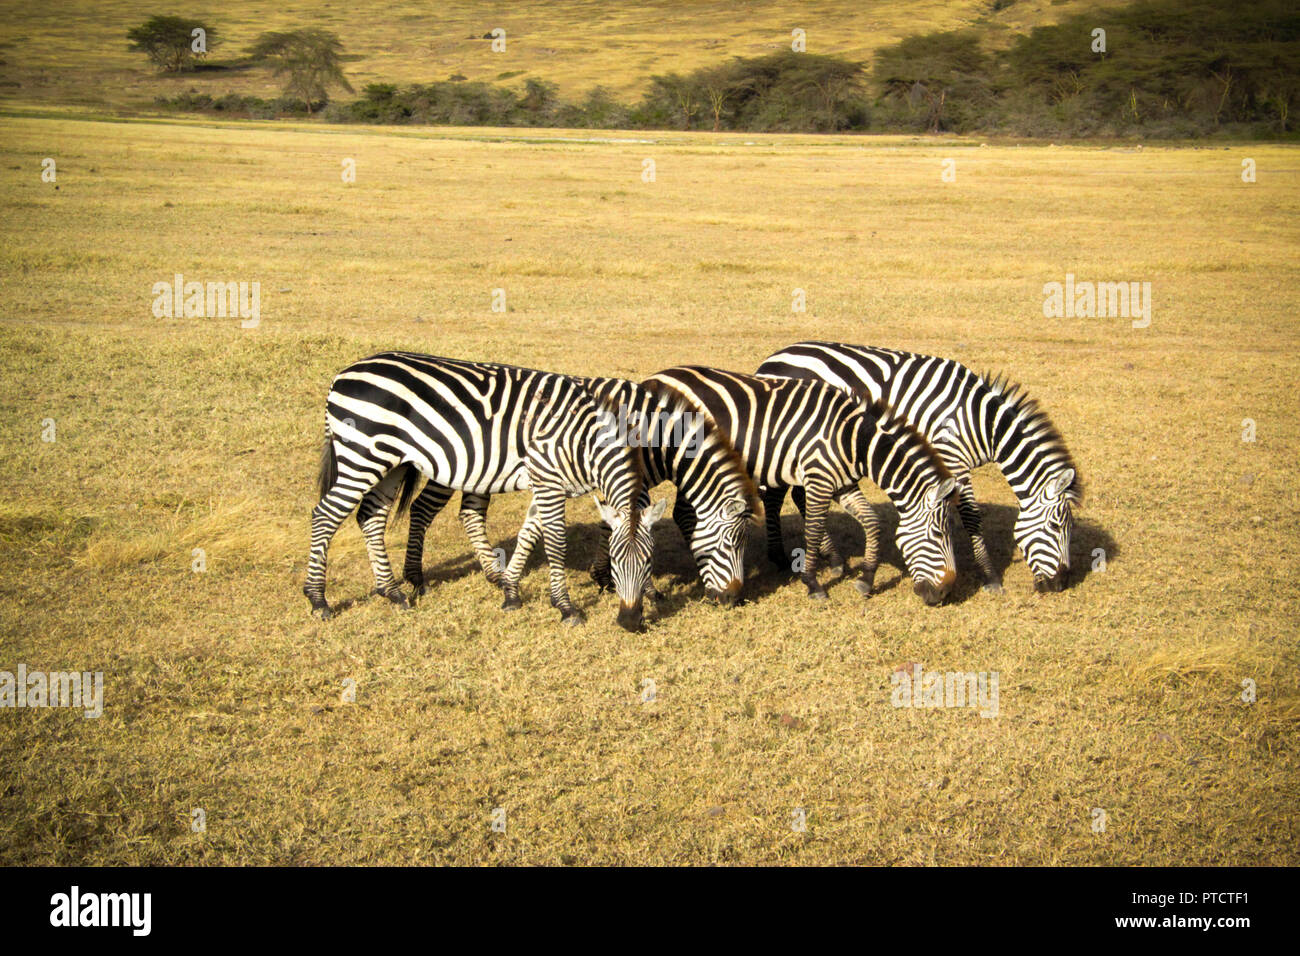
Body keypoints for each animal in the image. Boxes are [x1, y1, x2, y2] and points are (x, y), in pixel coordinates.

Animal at [304, 351, 660, 629]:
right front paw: (565, 606)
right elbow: (555, 543)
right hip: (363, 456)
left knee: (371, 518)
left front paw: (511, 591)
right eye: (615, 561)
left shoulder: (545, 482)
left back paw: (391, 591)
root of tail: (344, 372)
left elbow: (528, 534)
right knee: (324, 516)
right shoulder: (548, 480)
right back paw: (318, 599)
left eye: (648, 561)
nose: (630, 622)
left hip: (391, 463)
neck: (585, 441)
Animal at [403, 377, 759, 608]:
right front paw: (641, 587)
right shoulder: (634, 482)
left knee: (468, 511)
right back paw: (415, 578)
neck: (653, 437)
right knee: (423, 508)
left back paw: (491, 573)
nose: (734, 599)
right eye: (731, 544)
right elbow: (625, 530)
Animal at [639, 366, 956, 606]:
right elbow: (813, 531)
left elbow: (872, 522)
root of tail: (651, 378)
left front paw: (866, 579)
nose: (944, 594)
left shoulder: (843, 484)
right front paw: (814, 584)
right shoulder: (819, 479)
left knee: (683, 514)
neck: (852, 438)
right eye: (939, 535)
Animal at [759, 340, 1081, 595]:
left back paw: (834, 558)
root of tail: (774, 357)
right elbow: (971, 517)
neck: (982, 423)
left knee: (797, 494)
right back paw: (780, 557)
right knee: (774, 496)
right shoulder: (953, 459)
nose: (1061, 584)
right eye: (1057, 526)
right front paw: (989, 576)